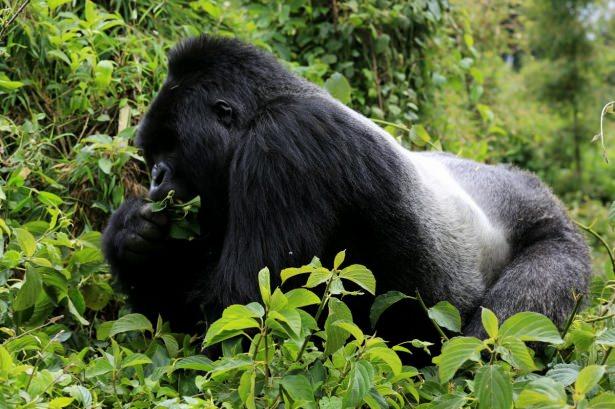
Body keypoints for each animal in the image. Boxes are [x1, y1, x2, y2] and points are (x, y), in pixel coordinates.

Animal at [102, 34, 592, 342]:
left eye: (170, 145)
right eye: (151, 152)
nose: (154, 177)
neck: (265, 106)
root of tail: (535, 188)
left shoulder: (284, 145)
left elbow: (240, 308)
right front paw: (131, 237)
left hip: (558, 235)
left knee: (511, 317)